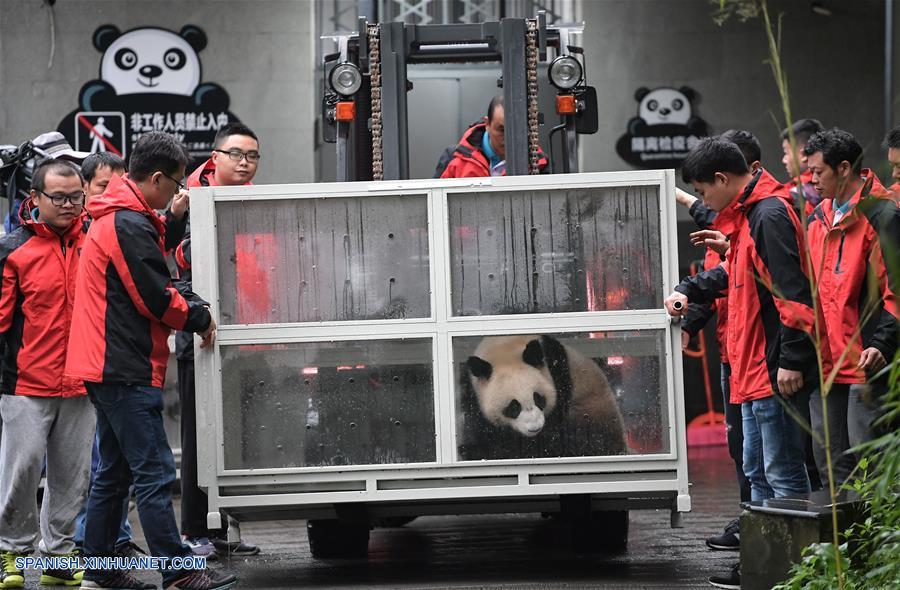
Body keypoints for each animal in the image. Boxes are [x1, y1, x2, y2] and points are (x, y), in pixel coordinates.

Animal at [460, 335, 627, 460]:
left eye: (538, 398)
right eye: (513, 407)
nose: (535, 428)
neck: (504, 350)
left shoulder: (559, 373)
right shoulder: (472, 393)